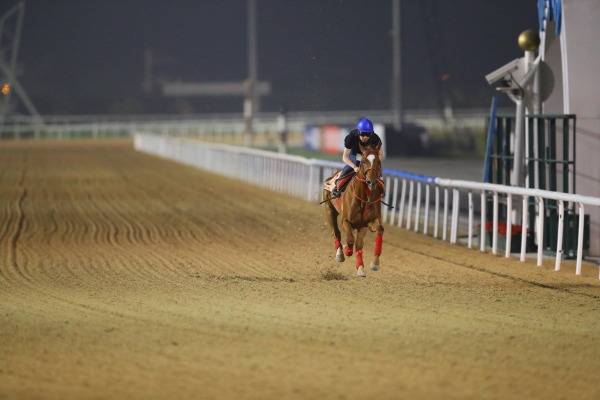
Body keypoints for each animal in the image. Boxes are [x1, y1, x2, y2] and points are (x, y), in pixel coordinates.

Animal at [324, 142, 384, 276]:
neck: (364, 198)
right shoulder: (345, 221)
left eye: (378, 161)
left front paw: (374, 263)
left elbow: (378, 230)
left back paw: (360, 267)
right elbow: (350, 239)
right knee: (336, 232)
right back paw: (340, 253)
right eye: (363, 161)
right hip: (330, 210)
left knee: (358, 244)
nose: (371, 182)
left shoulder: (367, 223)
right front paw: (347, 250)